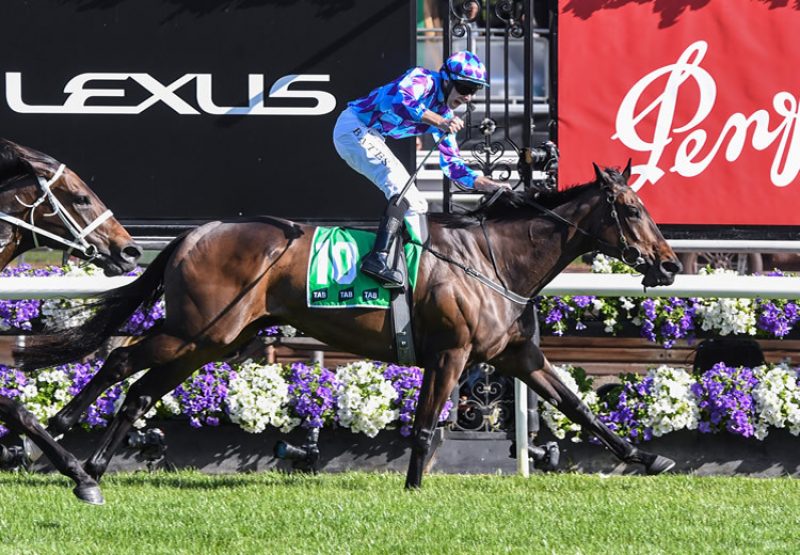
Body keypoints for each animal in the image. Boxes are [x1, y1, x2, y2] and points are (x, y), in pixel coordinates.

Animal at [17, 162, 680, 490]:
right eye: (633, 210)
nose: (671, 264)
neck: (492, 259)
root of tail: (193, 234)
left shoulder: (515, 355)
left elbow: (577, 407)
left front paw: (648, 459)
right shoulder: (451, 354)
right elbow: (425, 426)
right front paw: (413, 489)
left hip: (215, 340)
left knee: (140, 389)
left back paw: (92, 467)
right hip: (196, 330)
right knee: (120, 360)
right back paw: (60, 428)